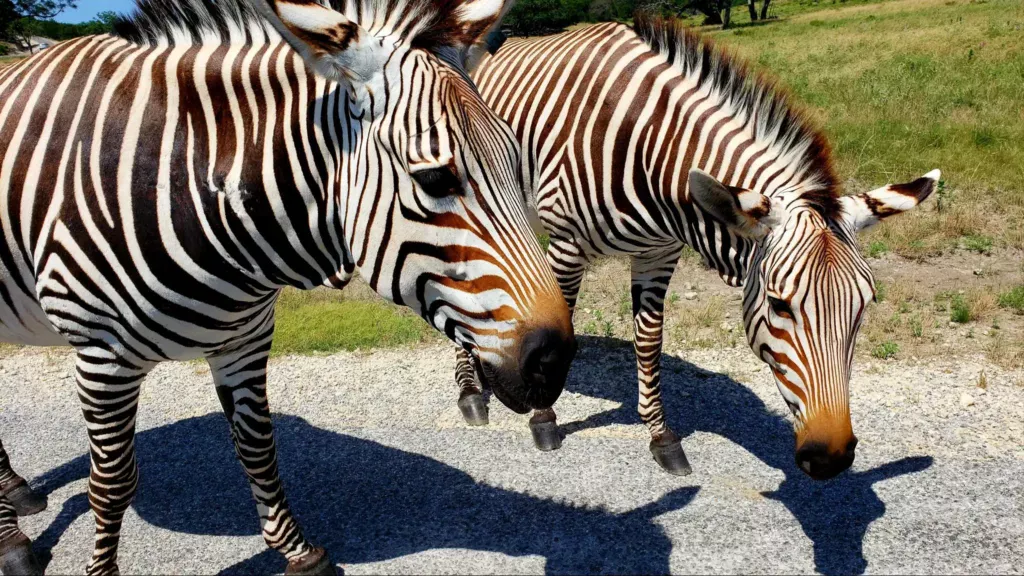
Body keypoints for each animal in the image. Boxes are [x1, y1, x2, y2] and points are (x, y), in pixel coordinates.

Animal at [0, 0, 577, 569]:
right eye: (435, 178)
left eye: (516, 160)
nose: (554, 361)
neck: (187, 180)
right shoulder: (103, 355)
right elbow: (113, 483)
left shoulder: (244, 337)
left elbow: (258, 447)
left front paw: (298, 552)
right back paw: (13, 543)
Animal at [460, 15, 937, 477]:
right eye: (780, 305)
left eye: (865, 305)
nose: (831, 459)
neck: (649, 147)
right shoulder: (567, 244)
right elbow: (559, 325)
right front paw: (543, 418)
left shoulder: (658, 253)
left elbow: (649, 341)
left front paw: (660, 436)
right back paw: (471, 393)